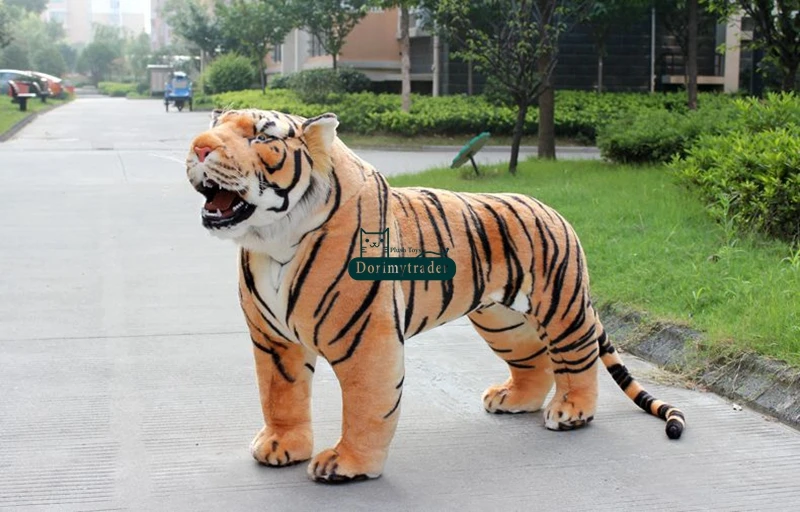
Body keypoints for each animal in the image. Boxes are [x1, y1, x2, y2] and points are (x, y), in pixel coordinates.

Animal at [185, 108, 685, 483]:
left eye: (261, 136)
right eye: (217, 124)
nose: (199, 147)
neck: (273, 240)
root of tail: (553, 209)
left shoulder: (366, 340)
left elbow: (367, 405)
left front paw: (347, 465)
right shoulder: (273, 340)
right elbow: (280, 395)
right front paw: (281, 446)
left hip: (561, 307)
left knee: (577, 359)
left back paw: (571, 412)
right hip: (502, 321)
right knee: (536, 363)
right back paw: (512, 400)